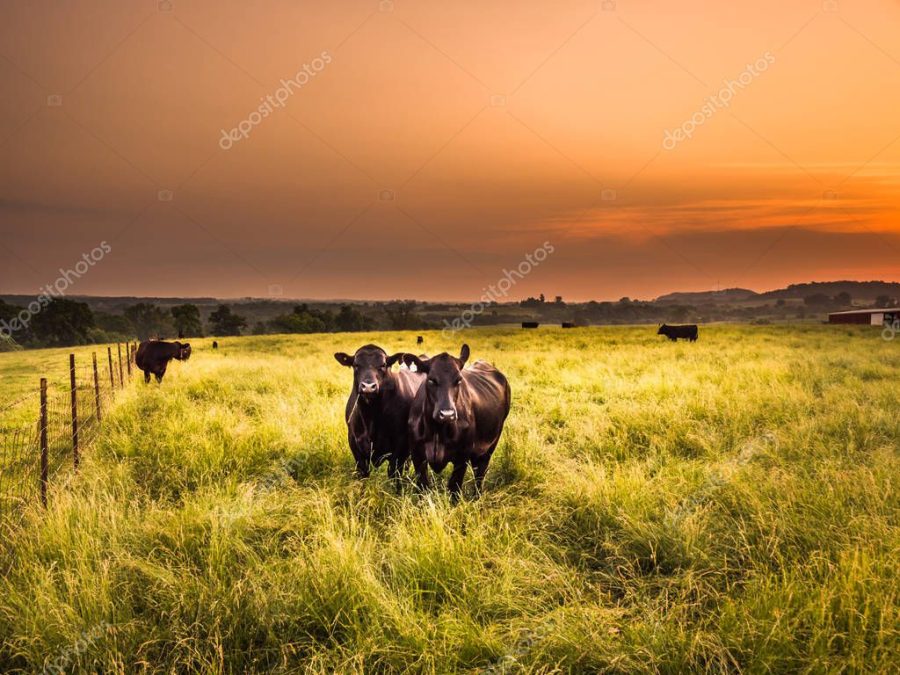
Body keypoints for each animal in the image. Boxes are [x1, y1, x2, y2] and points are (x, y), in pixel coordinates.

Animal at [334, 346, 426, 484]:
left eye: (383, 365)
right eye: (356, 365)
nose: (368, 387)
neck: (371, 417)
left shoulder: (401, 446)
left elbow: (394, 473)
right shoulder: (354, 443)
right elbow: (363, 473)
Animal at [404, 346, 510, 500]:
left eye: (459, 380)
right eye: (431, 380)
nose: (447, 414)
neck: (437, 430)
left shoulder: (462, 457)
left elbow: (454, 489)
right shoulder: (417, 455)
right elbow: (423, 487)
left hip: (491, 444)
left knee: (480, 473)